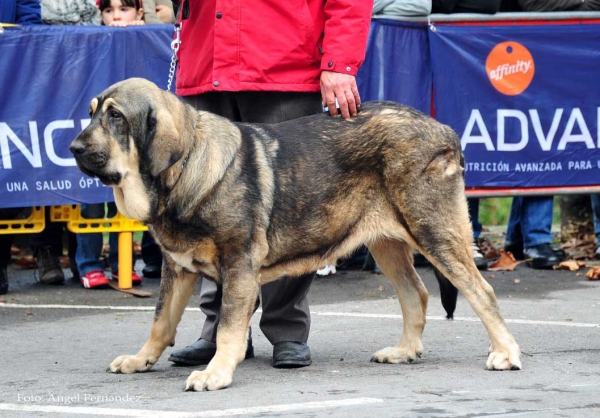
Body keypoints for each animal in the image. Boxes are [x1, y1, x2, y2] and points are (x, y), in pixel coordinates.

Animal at [70, 78, 520, 392]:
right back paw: (405, 351)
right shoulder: (177, 268)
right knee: (417, 293)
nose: (73, 147)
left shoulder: (239, 267)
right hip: (387, 243)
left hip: (434, 230)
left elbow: (228, 327)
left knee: (481, 291)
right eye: (92, 112)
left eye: (115, 116)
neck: (181, 171)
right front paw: (140, 359)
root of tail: (442, 129)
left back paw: (506, 353)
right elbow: (161, 322)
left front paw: (215, 374)